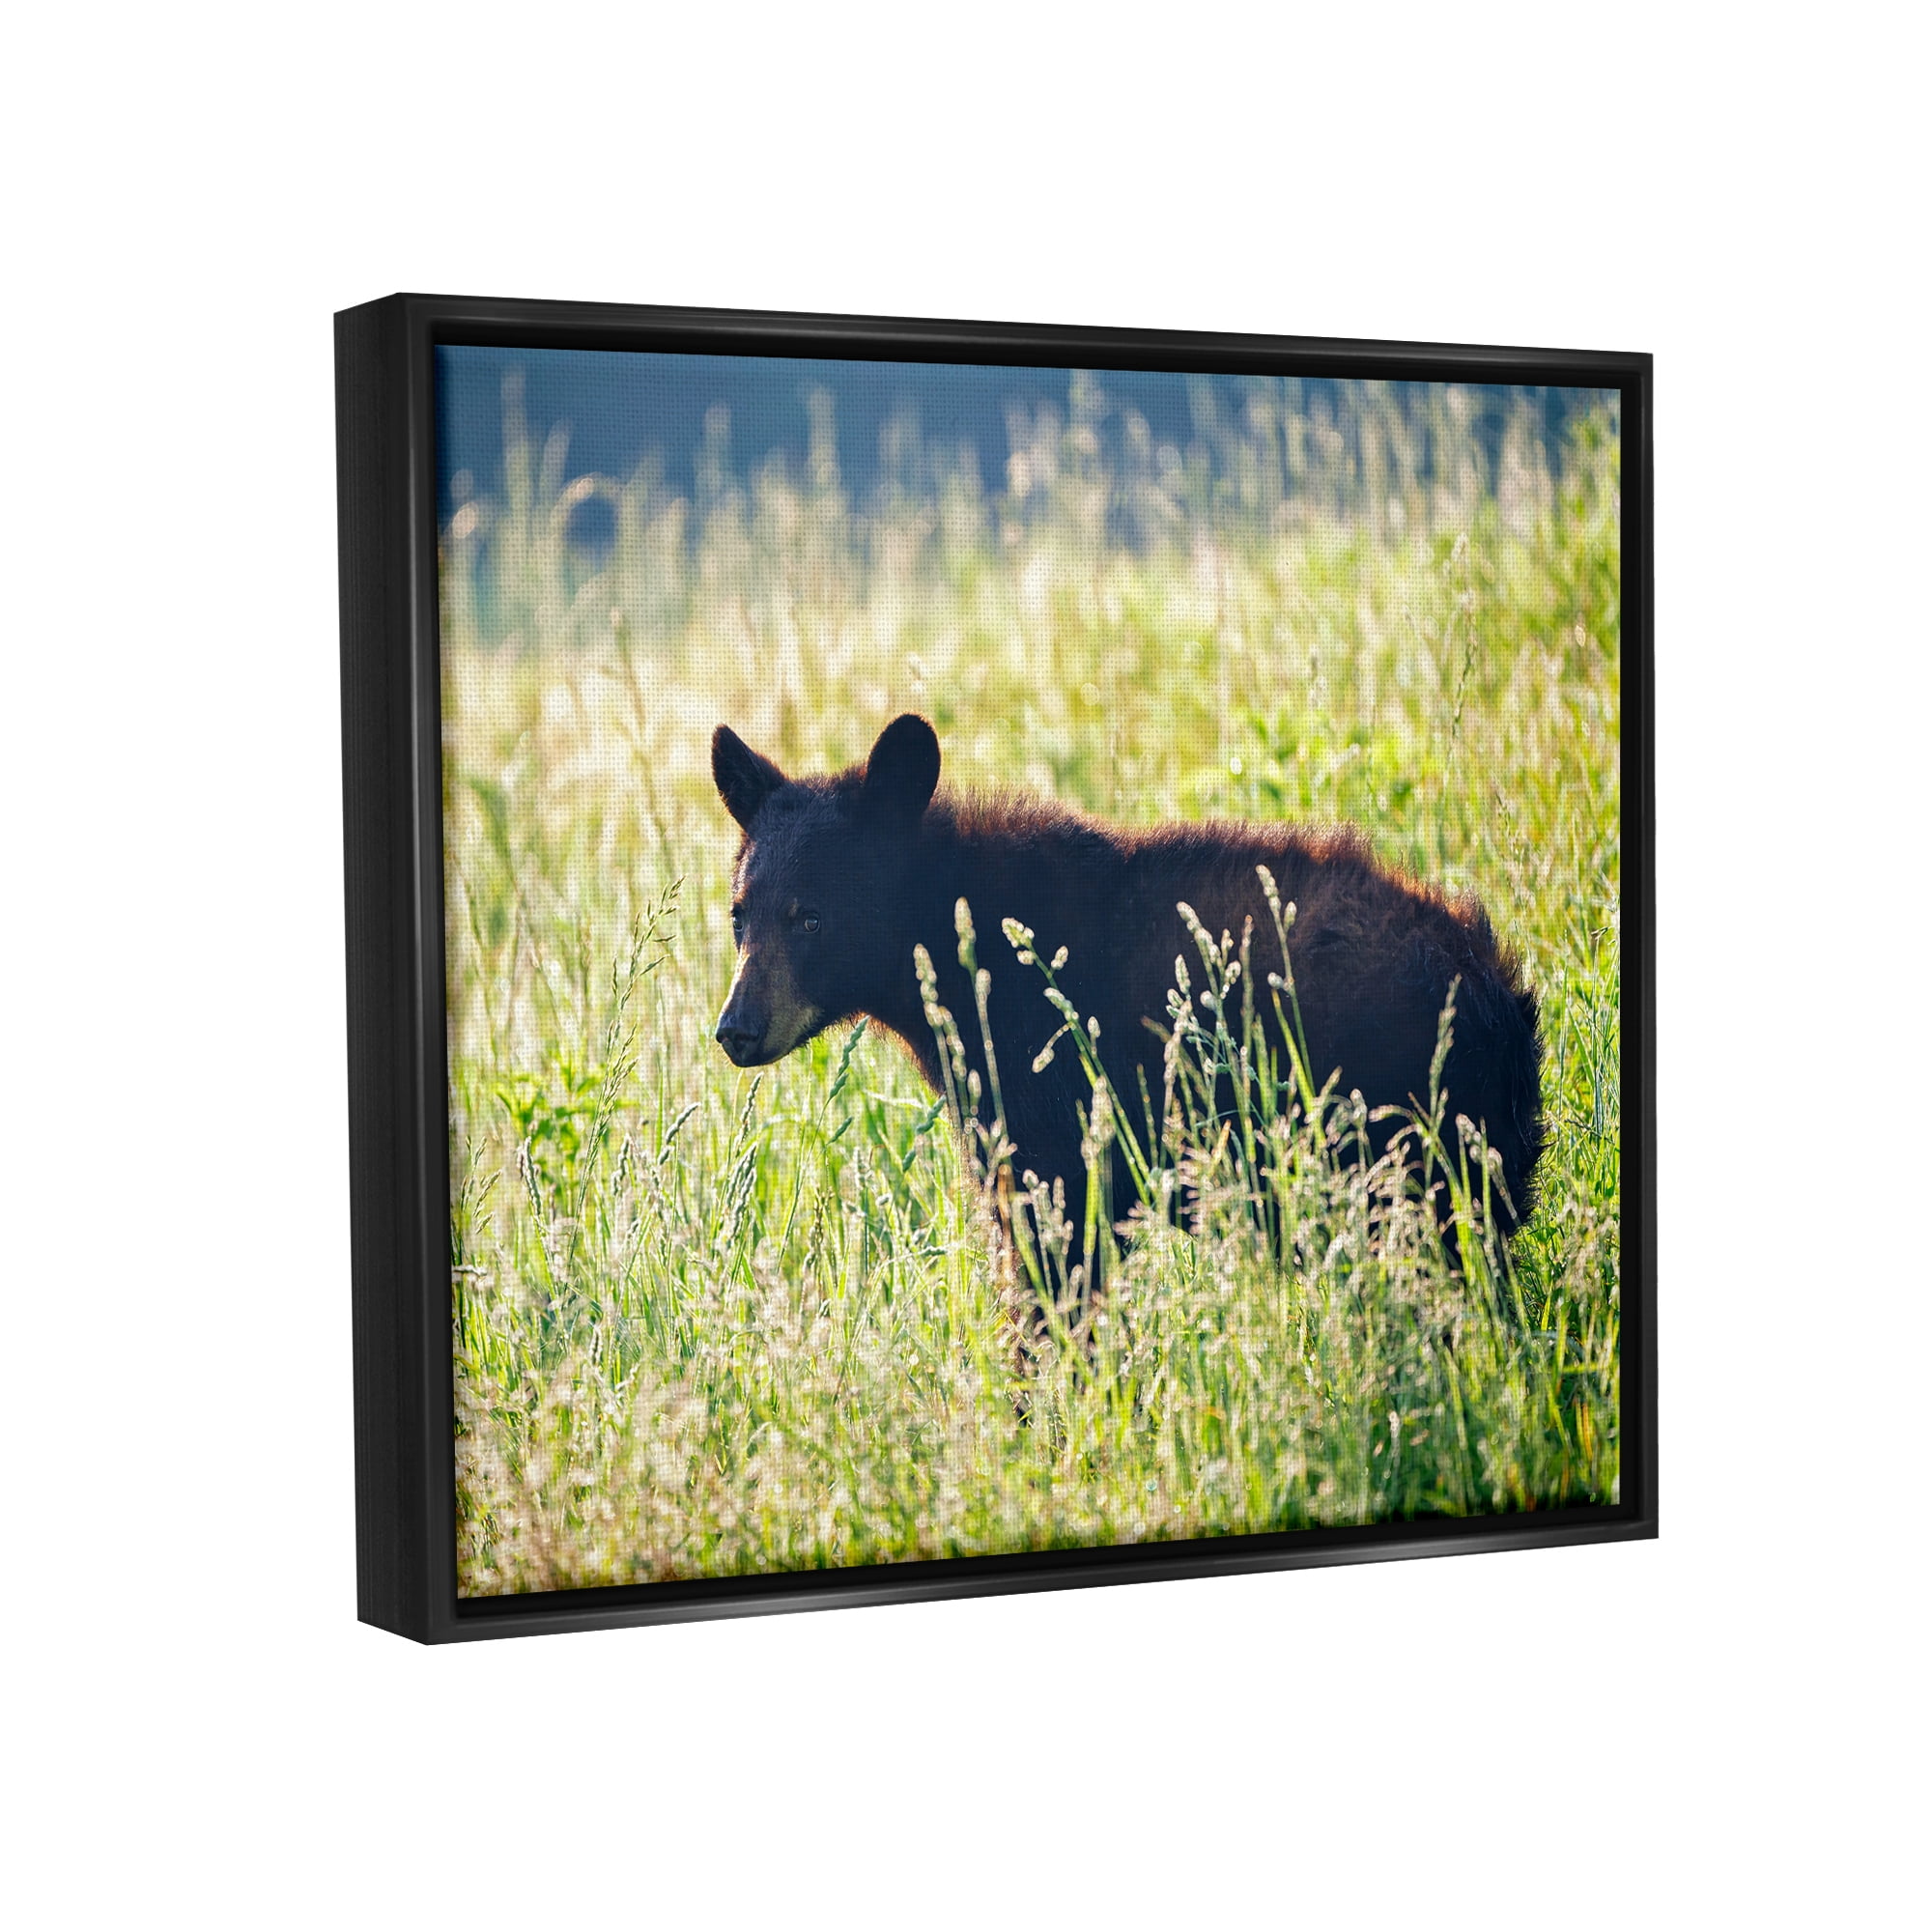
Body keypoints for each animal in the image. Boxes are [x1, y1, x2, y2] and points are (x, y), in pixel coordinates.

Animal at [710, 712, 1544, 1277]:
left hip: (1395, 1142)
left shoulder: (1057, 1116)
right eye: (739, 914)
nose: (736, 1029)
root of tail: (1494, 994)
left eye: (812, 917)